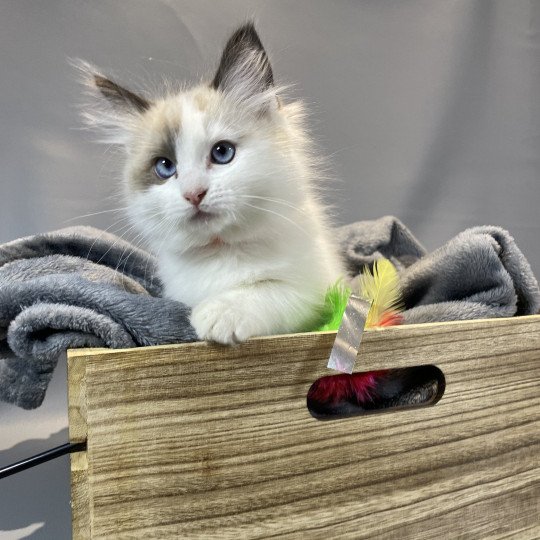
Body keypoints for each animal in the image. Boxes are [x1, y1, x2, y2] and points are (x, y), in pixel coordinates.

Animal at [80, 23, 342, 344]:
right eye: (165, 167)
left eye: (222, 153)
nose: (194, 194)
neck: (219, 251)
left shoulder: (314, 294)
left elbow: (267, 289)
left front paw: (219, 313)